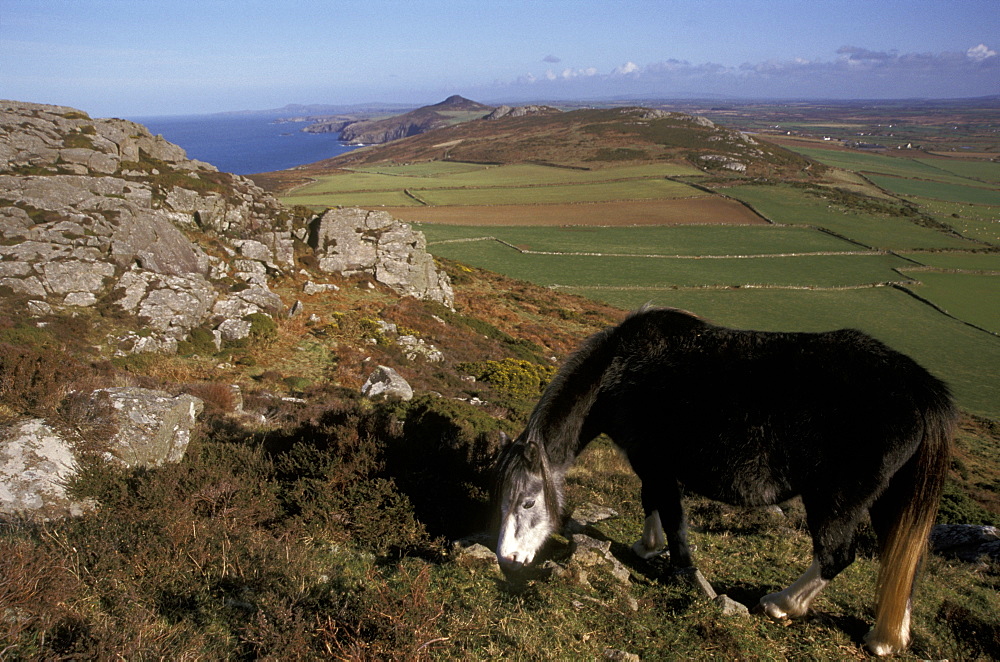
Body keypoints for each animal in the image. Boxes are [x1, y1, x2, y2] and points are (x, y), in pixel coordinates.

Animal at [496, 308, 956, 660]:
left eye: (529, 502)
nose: (509, 560)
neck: (619, 372)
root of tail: (918, 385)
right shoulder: (650, 463)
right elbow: (652, 502)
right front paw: (648, 546)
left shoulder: (655, 461)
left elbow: (671, 513)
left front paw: (686, 574)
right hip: (889, 498)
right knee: (902, 560)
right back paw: (886, 638)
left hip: (836, 498)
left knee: (836, 556)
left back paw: (781, 604)